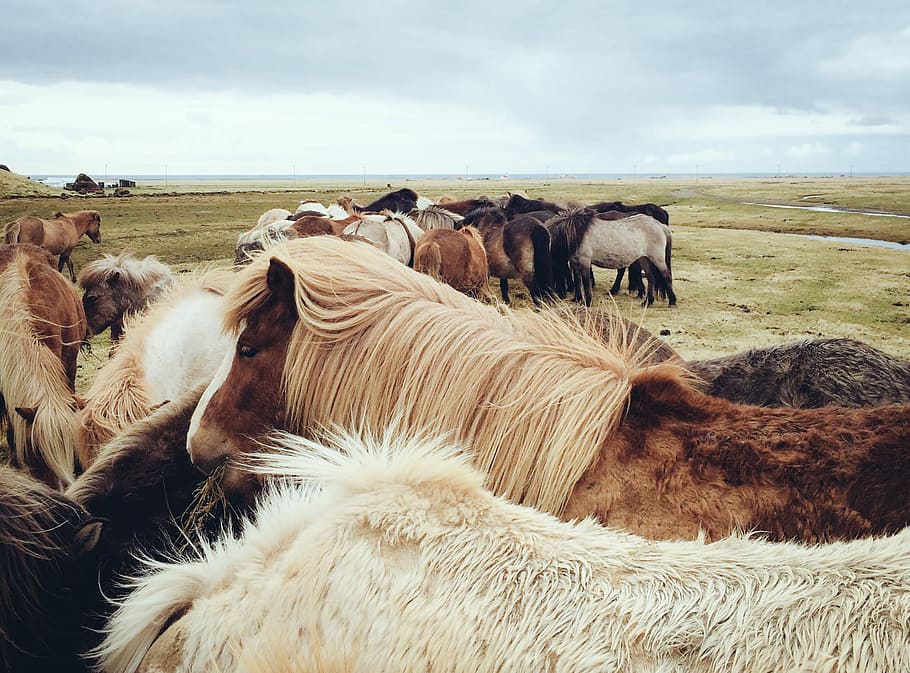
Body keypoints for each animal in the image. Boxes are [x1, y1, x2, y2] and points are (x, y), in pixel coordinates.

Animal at [548, 207, 676, 308]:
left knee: (667, 276)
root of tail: (660, 226)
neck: (576, 233)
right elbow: (577, 280)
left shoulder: (585, 261)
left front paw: (587, 302)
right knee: (651, 278)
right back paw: (647, 302)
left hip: (657, 259)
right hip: (643, 259)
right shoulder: (575, 262)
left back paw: (672, 302)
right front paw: (577, 299)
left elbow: (585, 282)